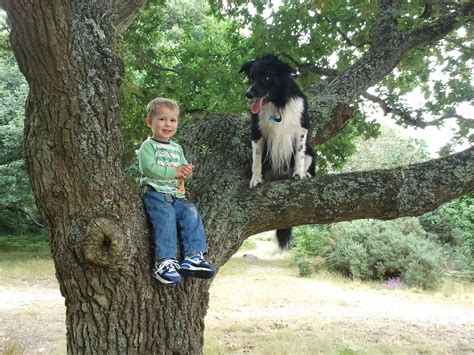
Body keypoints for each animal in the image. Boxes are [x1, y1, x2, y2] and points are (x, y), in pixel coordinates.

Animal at [241, 54, 314, 249]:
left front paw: (298, 174)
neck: (278, 103)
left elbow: (299, 153)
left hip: (312, 152)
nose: (248, 94)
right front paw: (256, 179)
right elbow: (256, 160)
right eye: (252, 77)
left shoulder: (301, 127)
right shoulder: (257, 132)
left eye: (267, 77)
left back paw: (306, 174)